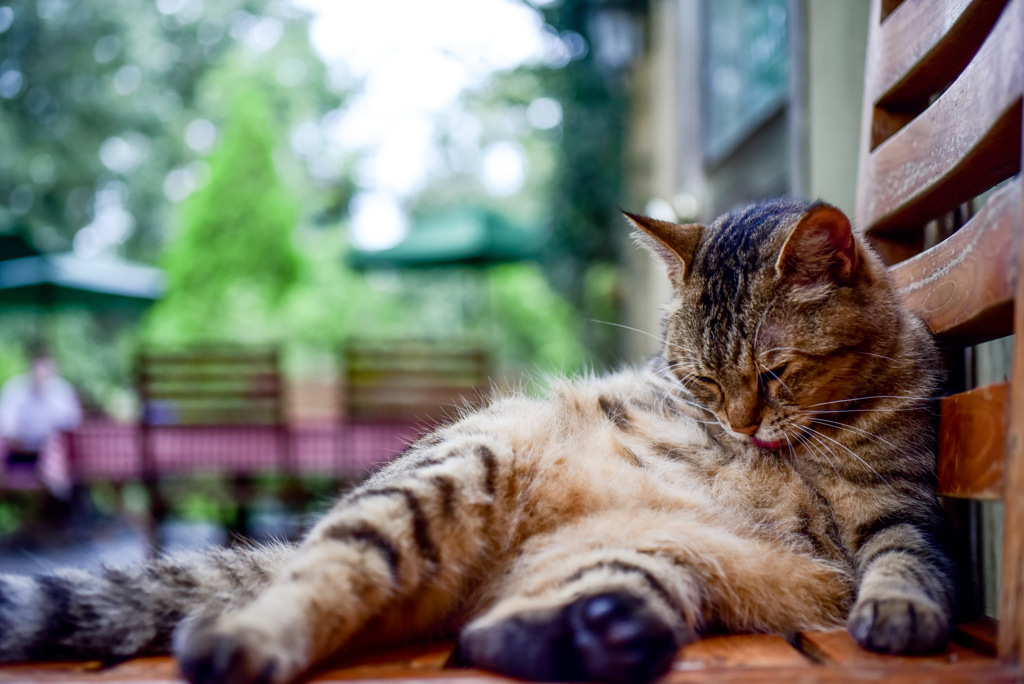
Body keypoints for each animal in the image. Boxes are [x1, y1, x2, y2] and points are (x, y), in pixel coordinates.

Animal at [0, 198, 950, 684]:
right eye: (701, 381)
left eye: (775, 374)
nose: (739, 427)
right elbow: (910, 560)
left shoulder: (902, 505)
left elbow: (906, 559)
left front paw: (899, 609)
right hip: (444, 478)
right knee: (333, 579)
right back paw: (244, 643)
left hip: (652, 556)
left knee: (491, 630)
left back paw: (601, 638)